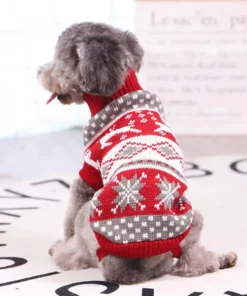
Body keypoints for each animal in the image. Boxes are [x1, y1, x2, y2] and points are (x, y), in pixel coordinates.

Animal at [37, 22, 238, 284]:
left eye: (58, 61)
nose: (40, 72)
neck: (118, 92)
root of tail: (131, 270)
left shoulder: (88, 172)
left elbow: (69, 216)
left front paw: (62, 239)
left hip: (87, 219)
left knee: (74, 254)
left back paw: (58, 249)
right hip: (194, 219)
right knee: (194, 262)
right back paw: (223, 259)